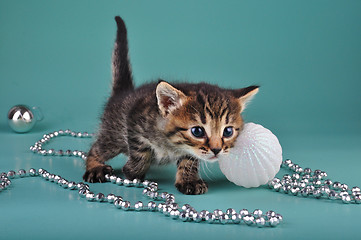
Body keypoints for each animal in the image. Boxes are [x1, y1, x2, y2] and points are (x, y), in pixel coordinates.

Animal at [83, 15, 258, 194]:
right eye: (197, 131)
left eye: (228, 131)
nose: (216, 150)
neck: (171, 144)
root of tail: (123, 93)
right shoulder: (134, 121)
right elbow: (140, 152)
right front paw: (133, 171)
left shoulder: (189, 151)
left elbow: (189, 160)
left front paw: (188, 180)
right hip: (114, 134)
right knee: (97, 148)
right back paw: (95, 166)